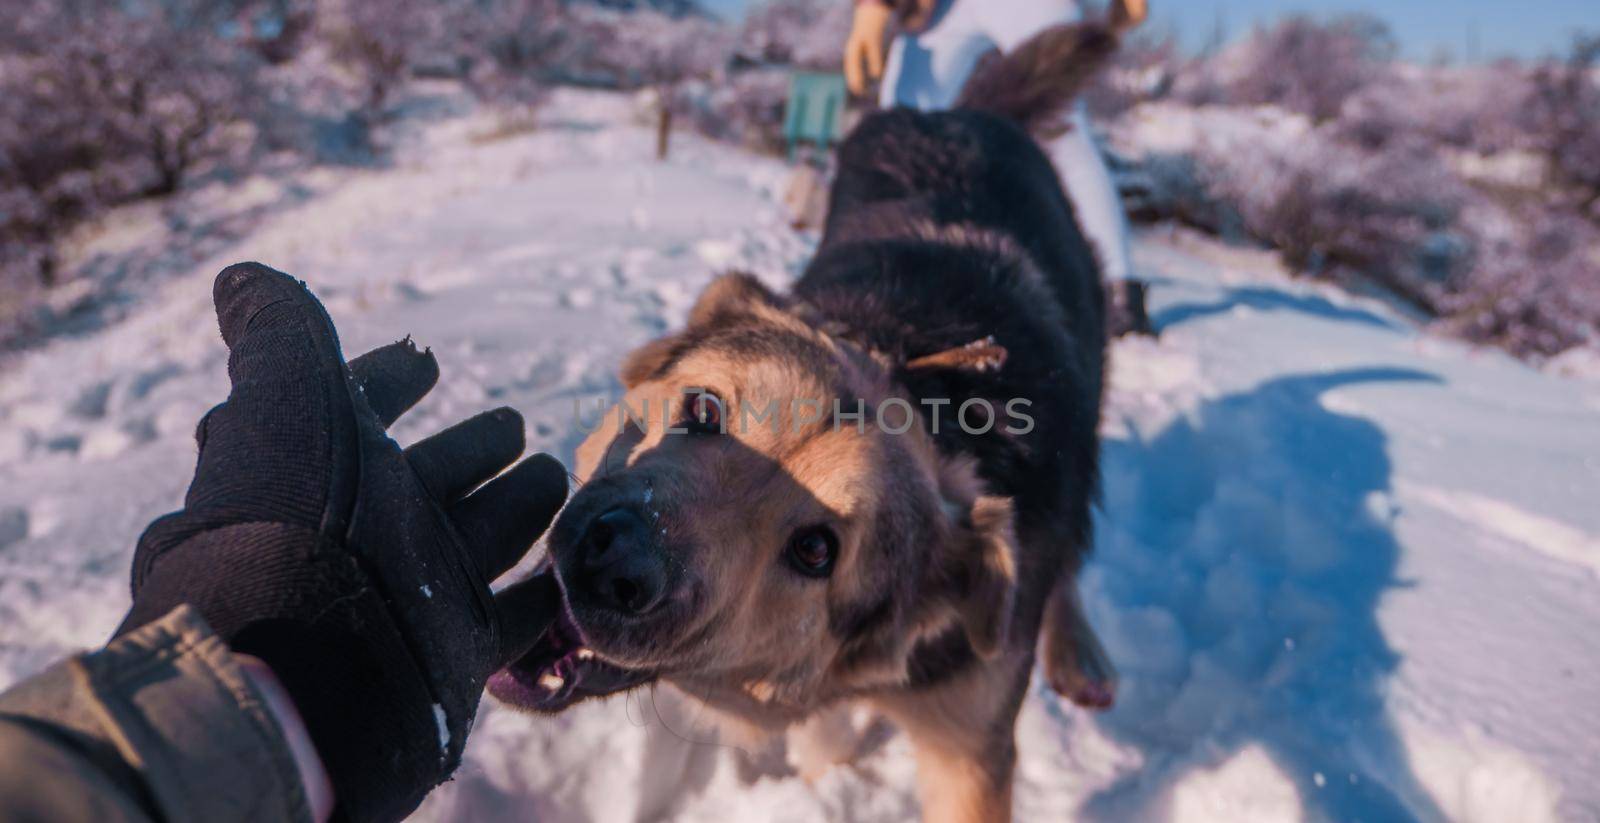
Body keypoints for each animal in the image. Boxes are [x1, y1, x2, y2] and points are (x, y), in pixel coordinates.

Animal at [492, 20, 1120, 819]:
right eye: (704, 409)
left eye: (816, 550)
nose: (617, 560)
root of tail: (971, 117)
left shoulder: (969, 746)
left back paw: (1078, 649)